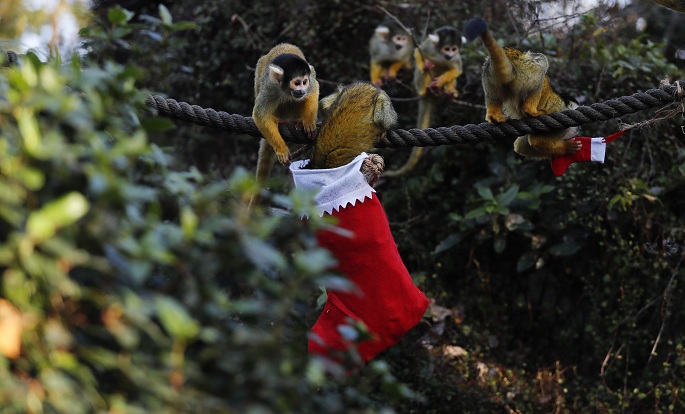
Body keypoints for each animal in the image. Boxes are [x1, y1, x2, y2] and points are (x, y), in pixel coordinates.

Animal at [249, 43, 319, 207]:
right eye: (297, 83)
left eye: (304, 82)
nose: (302, 90)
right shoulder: (270, 86)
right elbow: (260, 114)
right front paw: (281, 149)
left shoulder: (311, 81)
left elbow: (314, 89)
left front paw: (308, 122)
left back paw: (297, 121)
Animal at [384, 26, 464, 177]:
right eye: (447, 49)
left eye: (454, 49)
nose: (450, 55)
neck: (441, 54)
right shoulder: (429, 47)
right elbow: (418, 52)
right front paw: (425, 65)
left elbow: (457, 69)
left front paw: (440, 82)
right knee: (423, 70)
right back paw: (425, 89)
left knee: (449, 69)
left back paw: (448, 92)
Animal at [464, 17, 581, 159]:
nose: (578, 130)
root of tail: (512, 56)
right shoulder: (562, 124)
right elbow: (536, 141)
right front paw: (568, 148)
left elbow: (520, 146)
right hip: (526, 70)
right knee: (541, 62)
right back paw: (530, 111)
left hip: (488, 72)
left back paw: (494, 115)